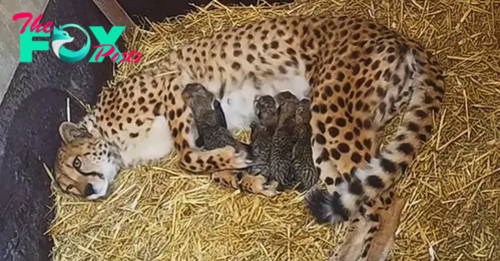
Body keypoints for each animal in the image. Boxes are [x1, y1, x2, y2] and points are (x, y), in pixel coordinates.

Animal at [52, 13, 444, 236]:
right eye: (70, 189)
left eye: (77, 163)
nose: (89, 191)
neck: (113, 138)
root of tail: (399, 36)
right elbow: (217, 170)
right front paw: (251, 176)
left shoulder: (174, 85)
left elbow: (186, 155)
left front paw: (234, 159)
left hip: (329, 112)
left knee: (384, 202)